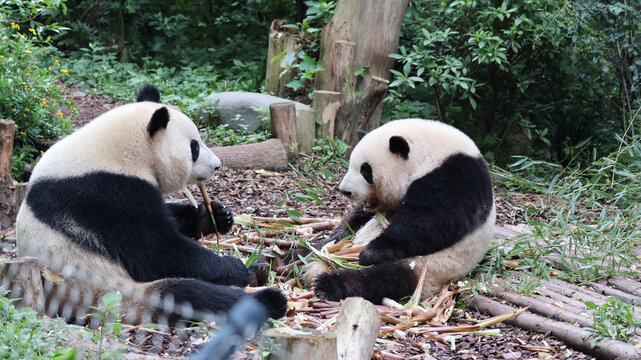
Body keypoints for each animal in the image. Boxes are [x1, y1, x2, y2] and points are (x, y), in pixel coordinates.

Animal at [15, 85, 284, 326]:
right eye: (194, 147)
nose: (217, 166)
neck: (118, 150)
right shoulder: (104, 193)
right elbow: (156, 250)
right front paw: (233, 266)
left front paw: (216, 216)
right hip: (110, 293)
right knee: (190, 296)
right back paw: (270, 299)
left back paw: (259, 272)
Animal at [304, 119, 496, 302]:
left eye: (365, 170)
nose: (345, 191)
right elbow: (357, 218)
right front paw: (342, 231)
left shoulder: (456, 177)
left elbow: (433, 221)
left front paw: (370, 252)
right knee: (316, 248)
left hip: (430, 266)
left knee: (385, 278)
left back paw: (327, 284)